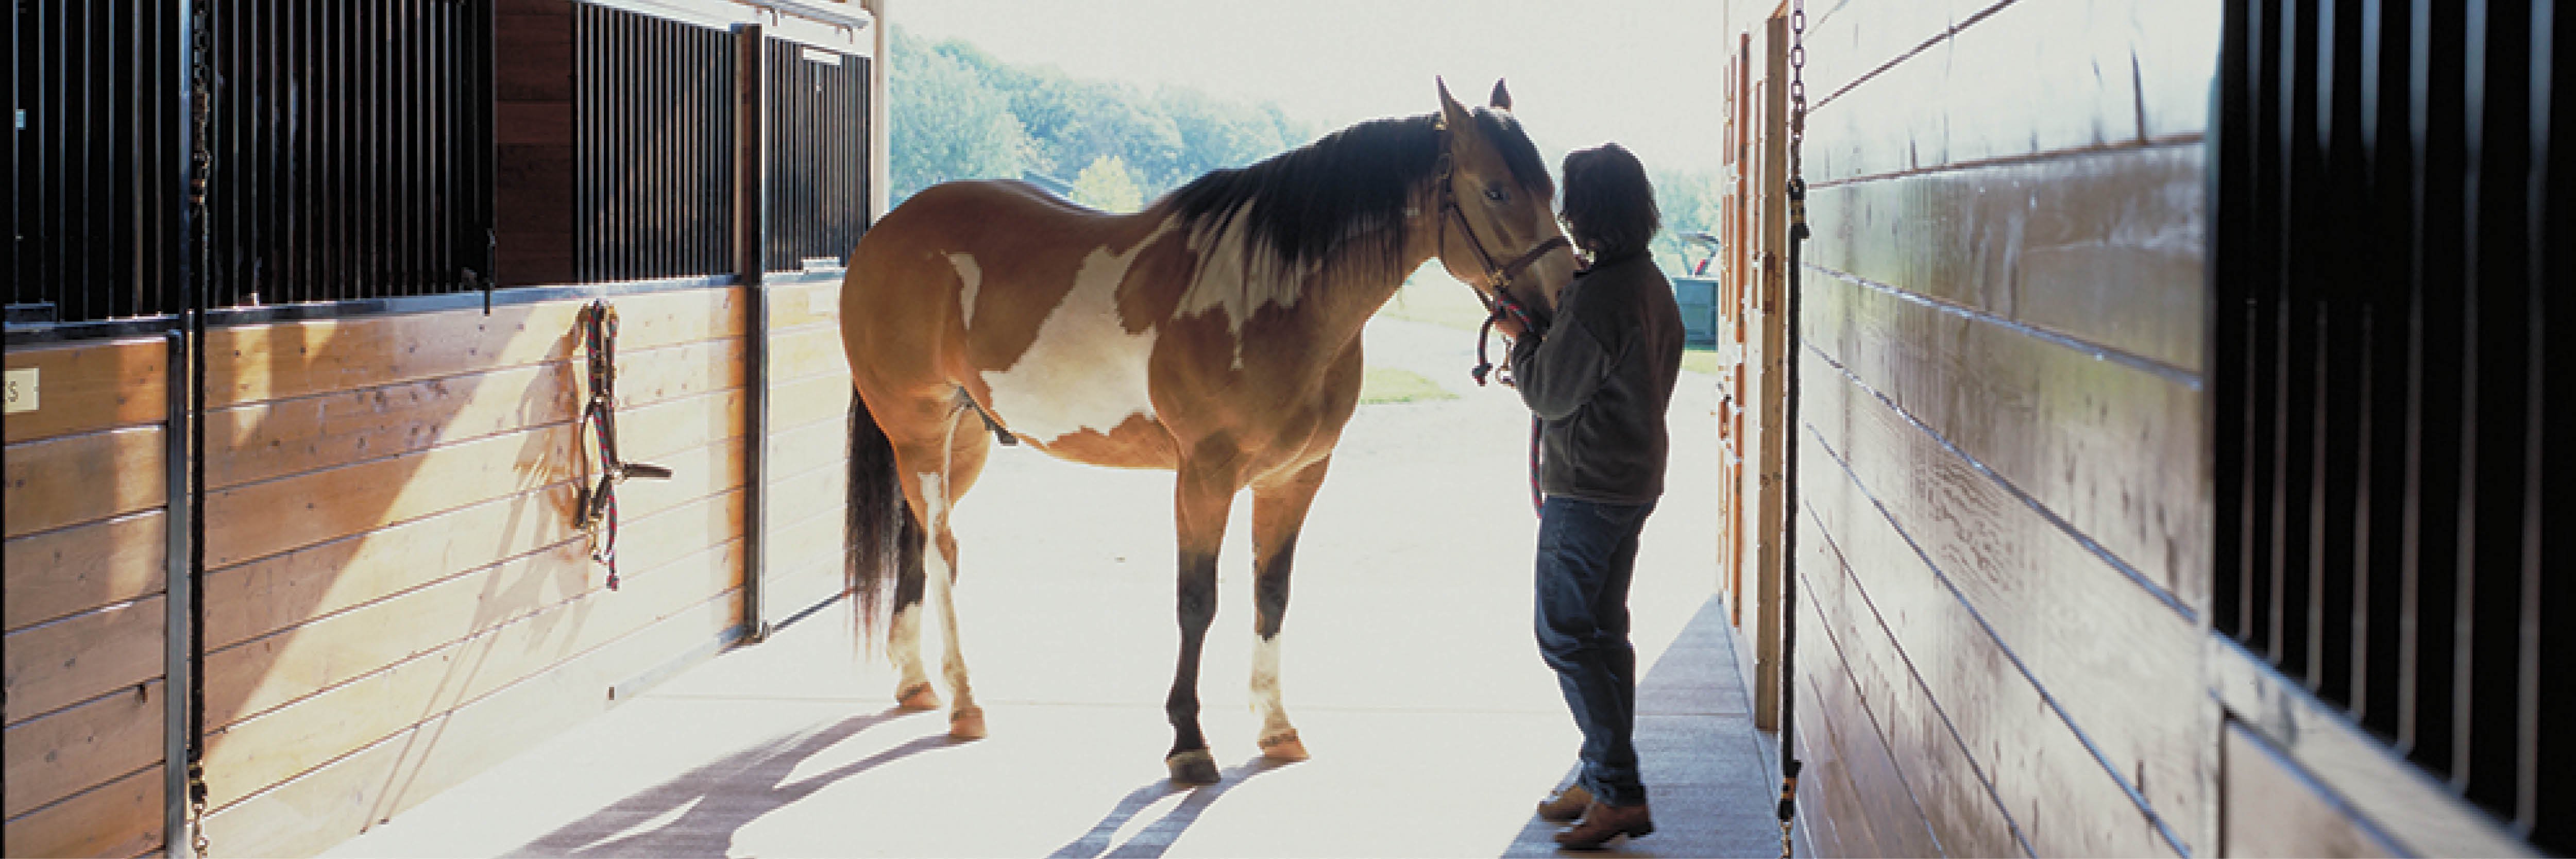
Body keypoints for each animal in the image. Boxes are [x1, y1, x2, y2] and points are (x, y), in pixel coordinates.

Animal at [840, 80, 1566, 784]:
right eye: (1496, 190)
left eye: (1549, 189)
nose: (1558, 309)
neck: (1273, 295)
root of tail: (885, 233)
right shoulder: (1204, 477)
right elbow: (1197, 601)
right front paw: (1188, 742)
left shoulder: (1296, 476)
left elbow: (1271, 593)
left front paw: (1275, 726)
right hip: (917, 429)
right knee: (943, 552)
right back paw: (965, 702)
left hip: (959, 441)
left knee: (915, 538)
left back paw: (916, 682)